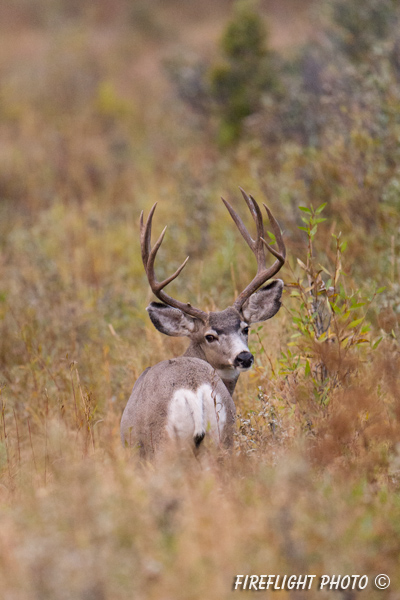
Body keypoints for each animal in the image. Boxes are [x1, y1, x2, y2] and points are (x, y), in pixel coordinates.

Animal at [120, 190, 286, 458]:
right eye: (210, 336)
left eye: (245, 328)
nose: (244, 357)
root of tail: (195, 391)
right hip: (224, 437)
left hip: (165, 444)